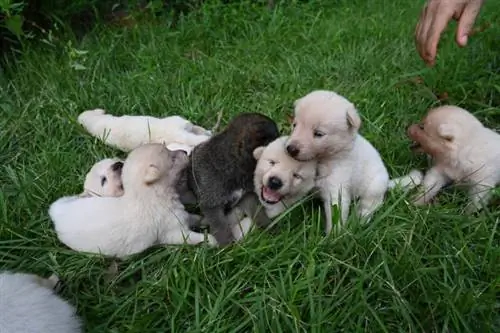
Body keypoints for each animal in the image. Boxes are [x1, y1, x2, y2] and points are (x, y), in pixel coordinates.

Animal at [49, 143, 219, 256]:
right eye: (171, 159)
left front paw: (204, 219)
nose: (185, 151)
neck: (148, 194)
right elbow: (193, 238)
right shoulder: (174, 232)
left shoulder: (179, 215)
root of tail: (56, 213)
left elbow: (192, 217)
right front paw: (213, 240)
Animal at [286, 89, 422, 232]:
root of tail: (387, 183)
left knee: (370, 205)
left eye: (318, 133)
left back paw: (360, 220)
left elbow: (337, 212)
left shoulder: (337, 188)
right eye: (294, 125)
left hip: (373, 188)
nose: (290, 149)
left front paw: (333, 235)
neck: (324, 159)